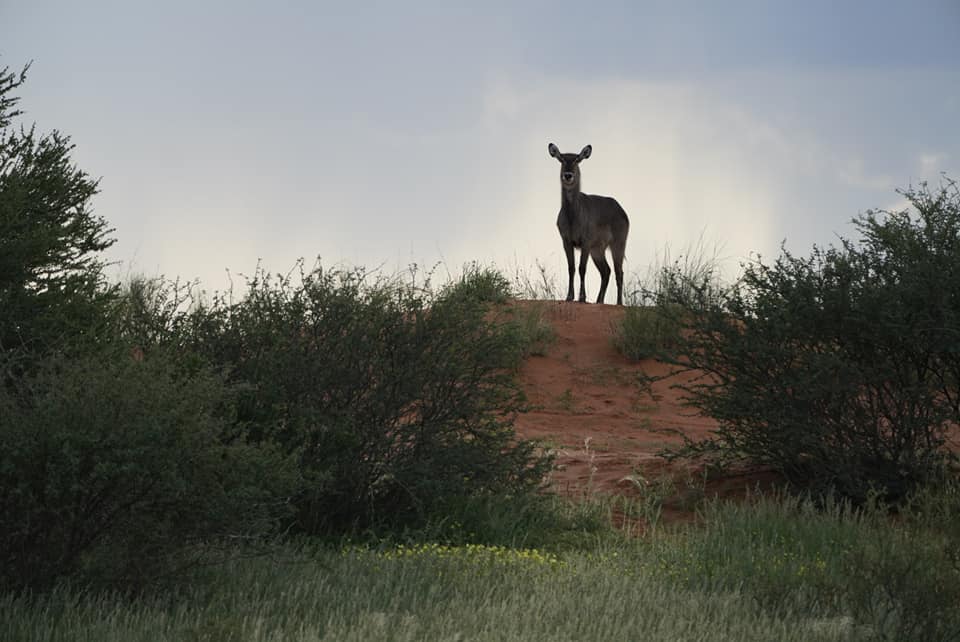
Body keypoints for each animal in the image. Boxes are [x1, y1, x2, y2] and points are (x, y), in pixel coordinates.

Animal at [548, 144, 632, 304]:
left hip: (618, 243)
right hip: (597, 250)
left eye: (576, 160)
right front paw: (569, 296)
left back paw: (619, 303)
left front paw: (582, 297)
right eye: (562, 159)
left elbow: (582, 268)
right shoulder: (566, 241)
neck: (572, 218)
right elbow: (571, 268)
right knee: (606, 271)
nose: (568, 175)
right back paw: (599, 301)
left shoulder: (586, 241)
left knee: (619, 272)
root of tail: (622, 211)